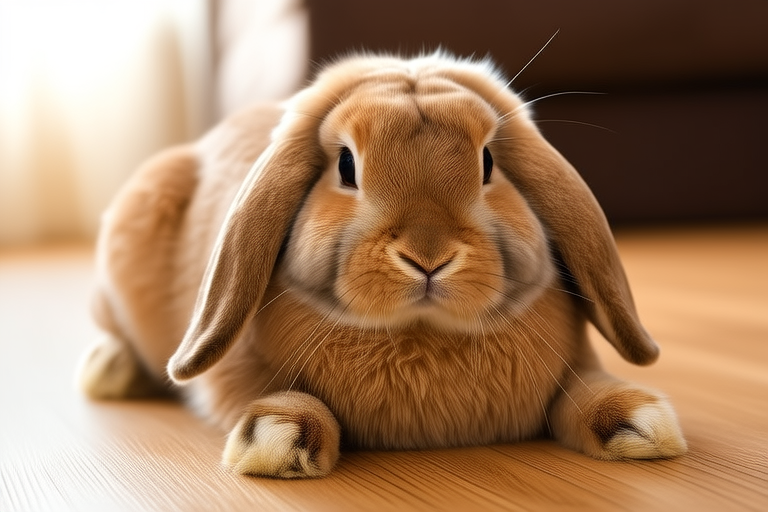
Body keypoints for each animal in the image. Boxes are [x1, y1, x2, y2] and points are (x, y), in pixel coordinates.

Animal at [76, 52, 687, 478]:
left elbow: (582, 388)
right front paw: (278, 438)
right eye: (346, 166)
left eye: (488, 162)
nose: (428, 256)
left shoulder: (572, 364)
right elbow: (264, 394)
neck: (422, 334)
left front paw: (640, 421)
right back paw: (109, 372)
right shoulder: (234, 373)